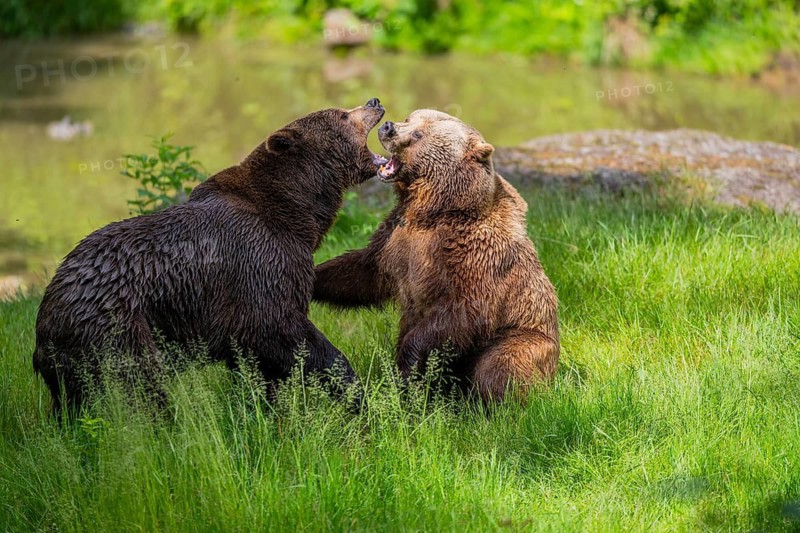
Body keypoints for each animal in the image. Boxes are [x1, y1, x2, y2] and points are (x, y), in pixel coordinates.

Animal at [33, 98, 388, 413]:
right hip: (115, 326)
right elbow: (283, 330)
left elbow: (255, 364)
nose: (374, 101)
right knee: (137, 390)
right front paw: (356, 395)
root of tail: (45, 326)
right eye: (342, 114)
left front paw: (261, 408)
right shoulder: (259, 264)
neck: (298, 213)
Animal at [313, 109, 559, 401]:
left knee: (501, 366)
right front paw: (312, 278)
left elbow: (462, 312)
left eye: (419, 134)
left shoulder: (473, 255)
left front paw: (406, 369)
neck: (435, 210)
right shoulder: (394, 239)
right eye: (410, 119)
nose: (388, 127)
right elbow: (362, 273)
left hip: (524, 335)